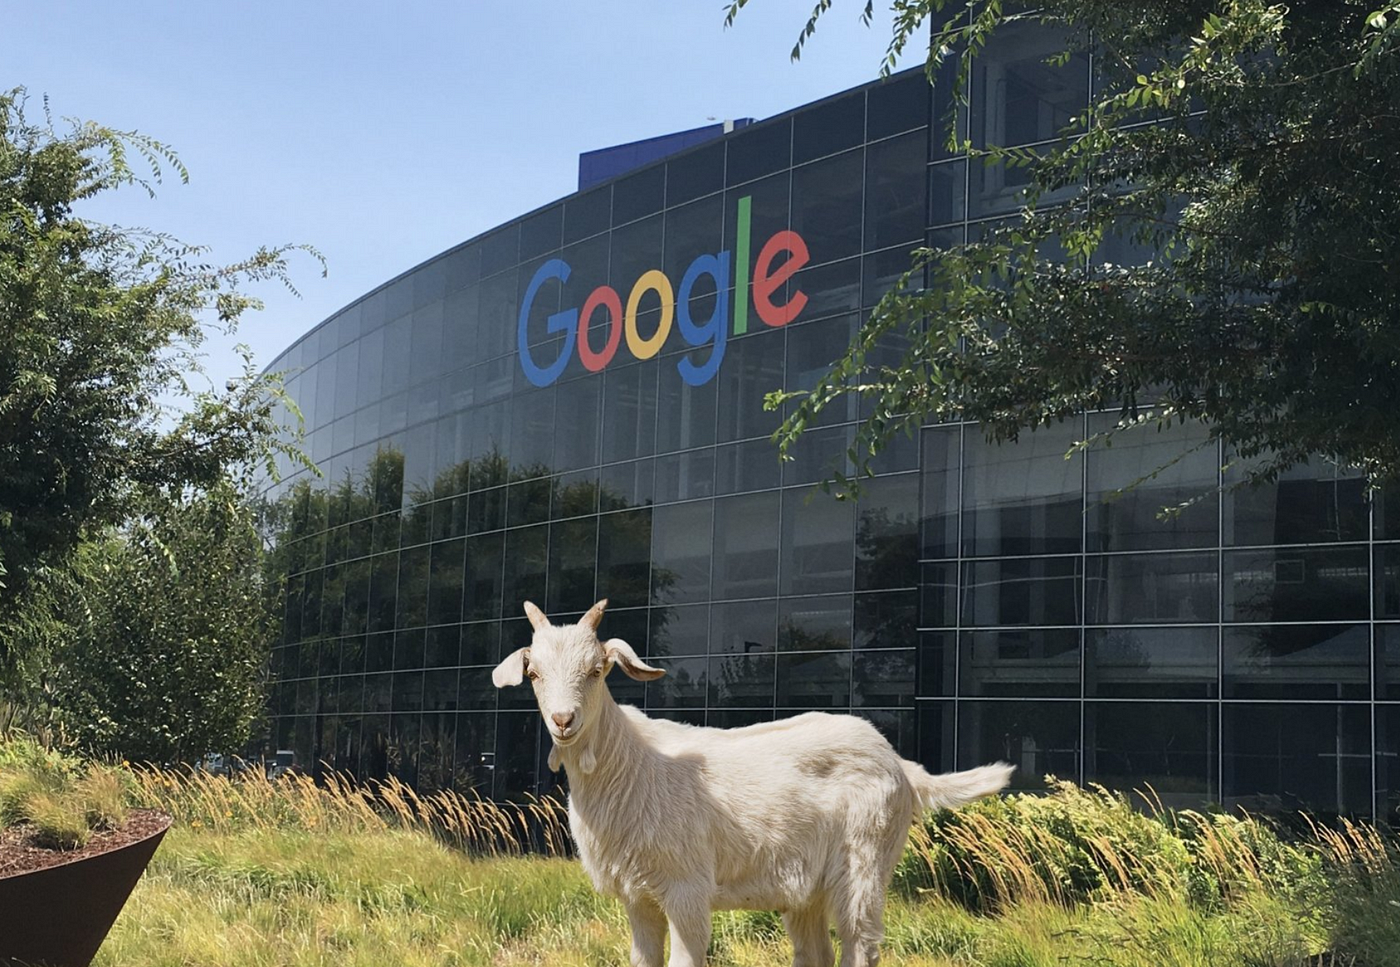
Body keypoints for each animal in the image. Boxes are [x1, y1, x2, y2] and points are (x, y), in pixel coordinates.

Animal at [492, 599, 1012, 967]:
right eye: (533, 673)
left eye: (597, 670)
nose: (563, 721)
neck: (632, 765)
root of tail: (900, 764)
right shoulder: (637, 897)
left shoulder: (687, 888)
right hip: (806, 886)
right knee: (816, 953)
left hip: (866, 860)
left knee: (861, 946)